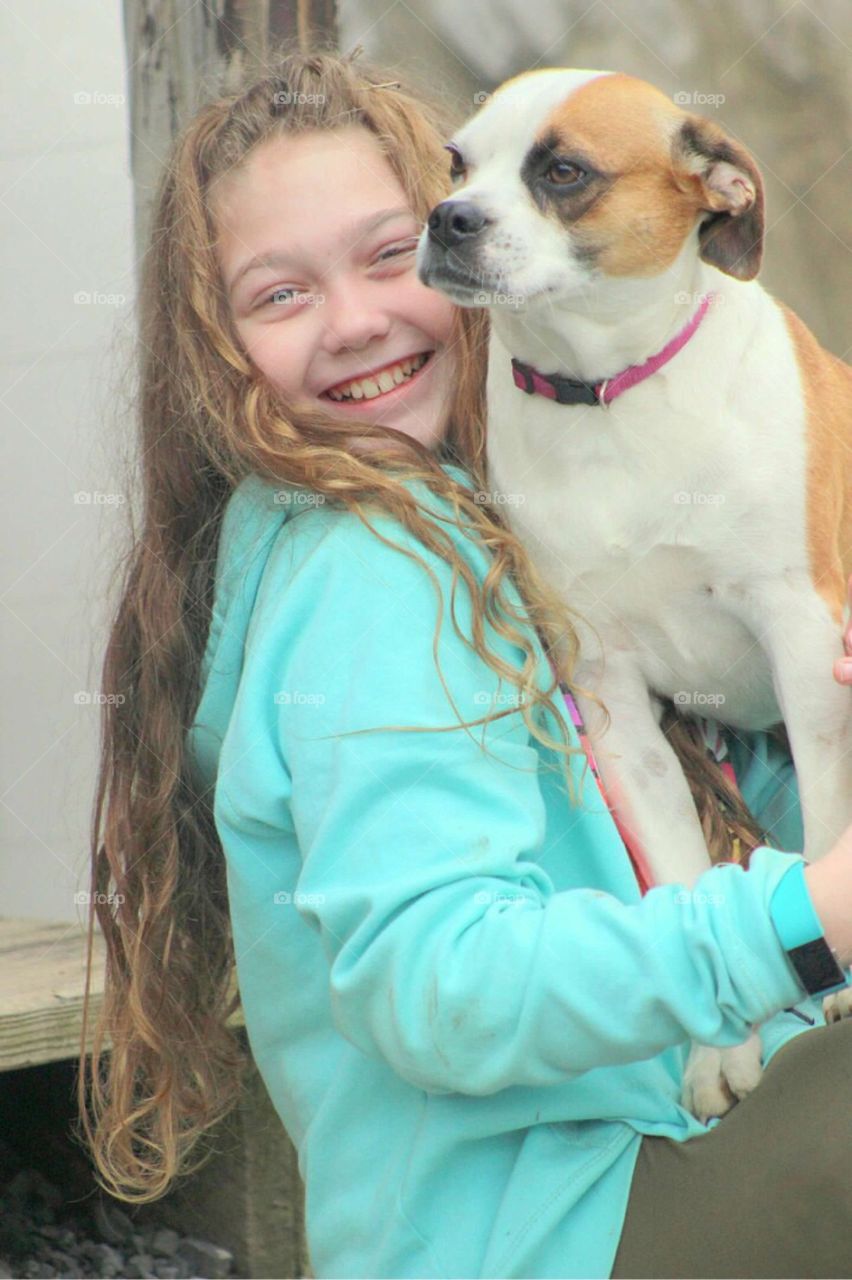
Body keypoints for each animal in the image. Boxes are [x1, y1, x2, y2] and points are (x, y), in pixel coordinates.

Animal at [417, 70, 849, 1121]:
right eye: (456, 163)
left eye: (564, 172)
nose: (448, 219)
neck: (607, 395)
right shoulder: (610, 697)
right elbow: (685, 887)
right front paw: (719, 1052)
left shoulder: (805, 647)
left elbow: (827, 830)